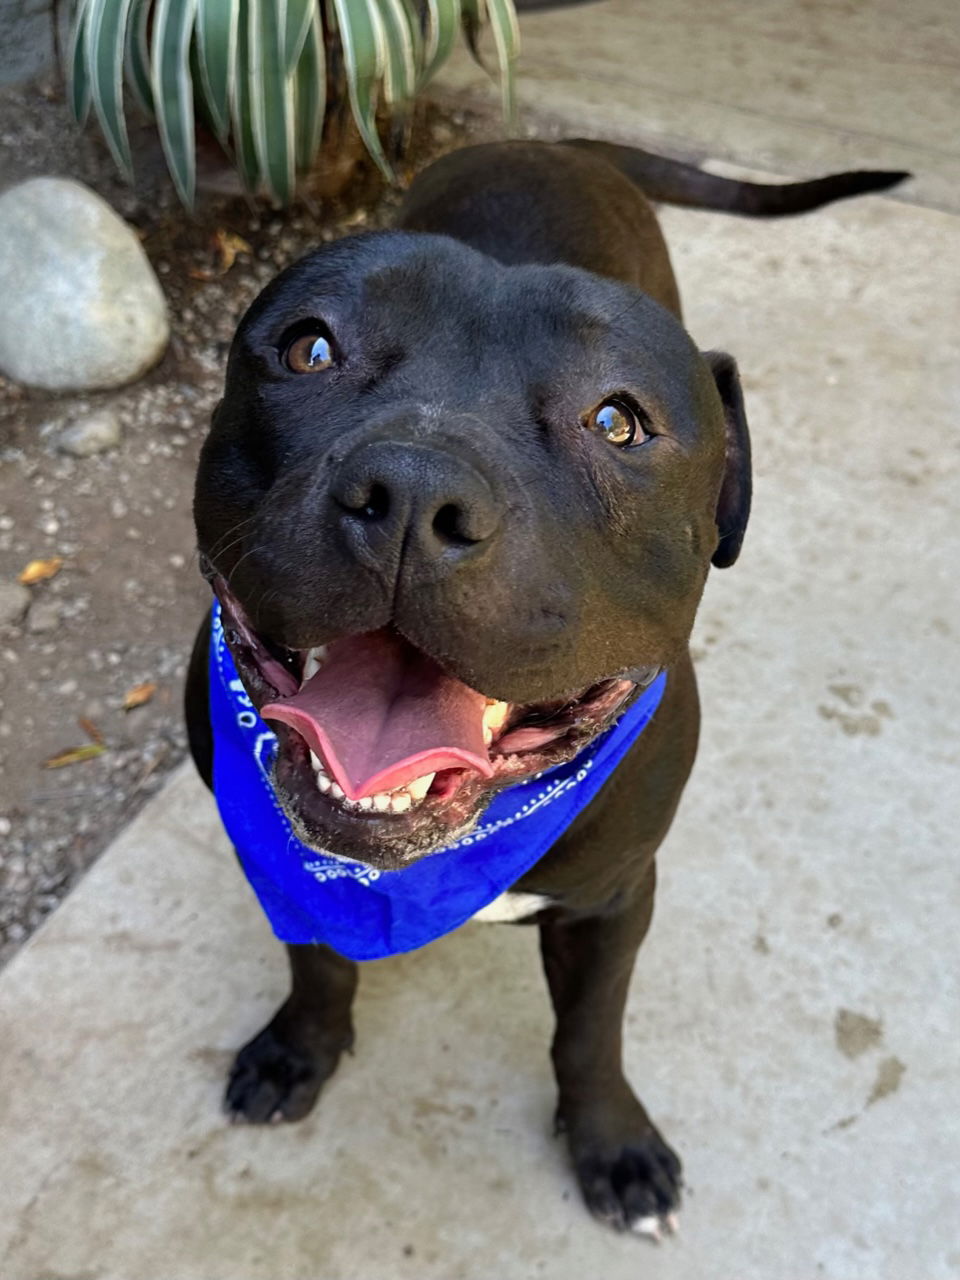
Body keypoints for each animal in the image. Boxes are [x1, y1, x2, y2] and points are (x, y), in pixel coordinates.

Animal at [185, 140, 911, 1239]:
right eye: (311, 348)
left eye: (618, 420)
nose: (413, 490)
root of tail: (559, 142)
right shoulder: (265, 849)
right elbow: (314, 955)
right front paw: (299, 1046)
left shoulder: (614, 899)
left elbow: (590, 1032)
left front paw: (612, 1143)